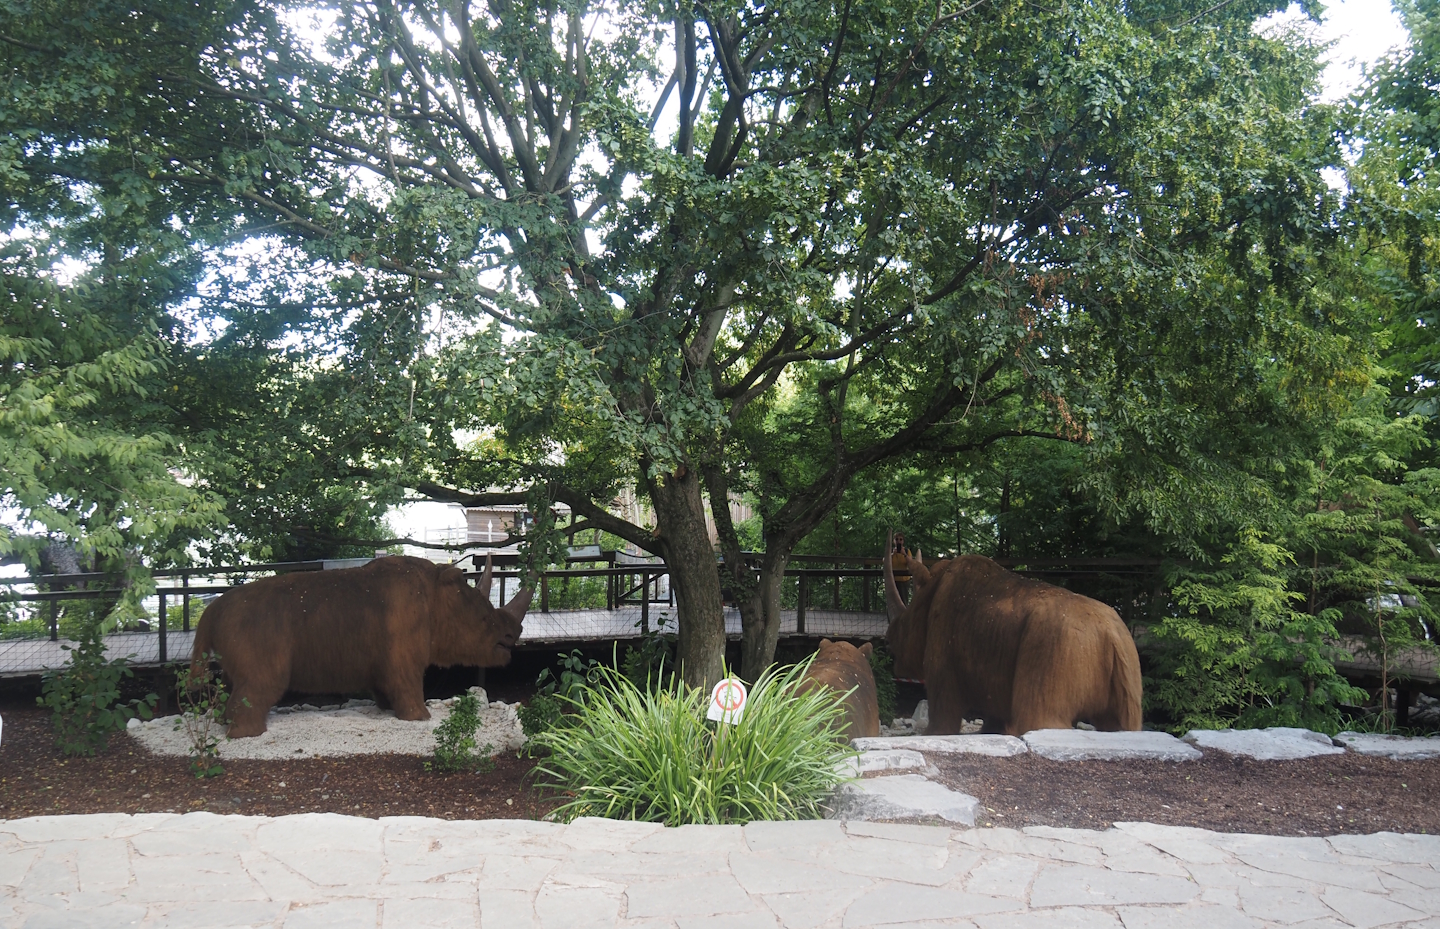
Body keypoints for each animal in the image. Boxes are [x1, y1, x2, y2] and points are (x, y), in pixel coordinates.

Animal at [192, 554, 529, 737]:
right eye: (485, 619)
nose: (515, 633)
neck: (437, 598)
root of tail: (210, 612)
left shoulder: (383, 665)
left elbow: (384, 692)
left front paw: (387, 710)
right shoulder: (403, 660)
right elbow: (410, 691)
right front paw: (420, 719)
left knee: (232, 684)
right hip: (258, 638)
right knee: (258, 687)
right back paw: (249, 734)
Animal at [883, 536, 1142, 736]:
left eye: (902, 624)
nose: (888, 638)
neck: (926, 596)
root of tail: (1113, 637)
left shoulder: (941, 664)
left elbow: (942, 721)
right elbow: (994, 722)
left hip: (1059, 644)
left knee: (1039, 719)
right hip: (1126, 654)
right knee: (1121, 724)